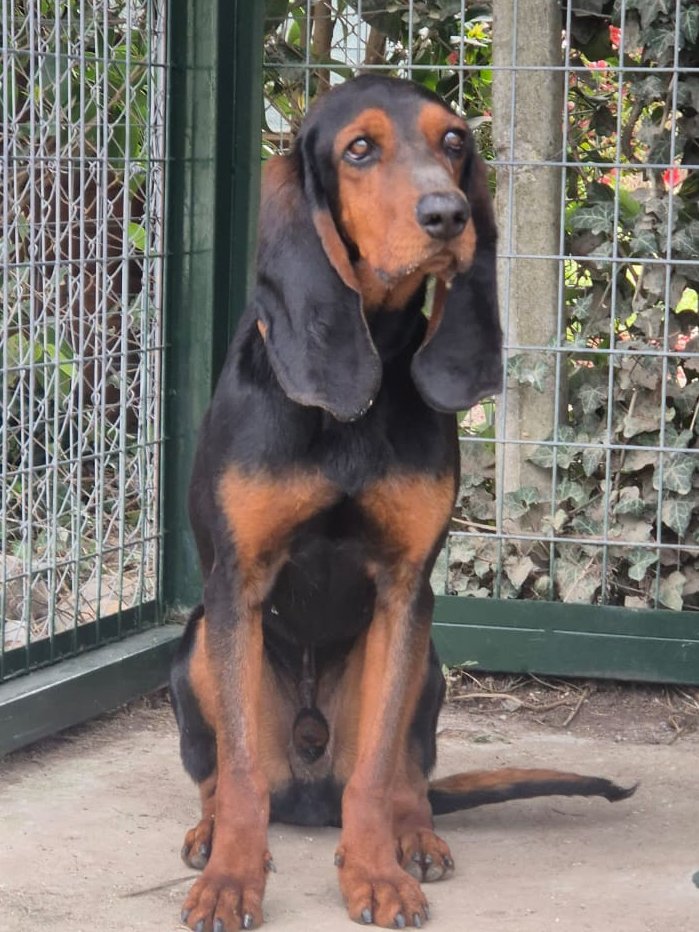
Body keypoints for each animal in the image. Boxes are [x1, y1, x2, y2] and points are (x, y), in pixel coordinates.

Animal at [170, 75, 635, 931]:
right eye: (359, 149)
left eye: (453, 142)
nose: (448, 215)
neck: (369, 372)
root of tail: (307, 790)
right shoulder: (236, 587)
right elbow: (241, 771)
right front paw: (231, 879)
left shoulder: (401, 593)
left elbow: (379, 769)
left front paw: (377, 873)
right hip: (196, 646)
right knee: (225, 773)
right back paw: (211, 832)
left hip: (427, 659)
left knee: (405, 778)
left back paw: (414, 836)